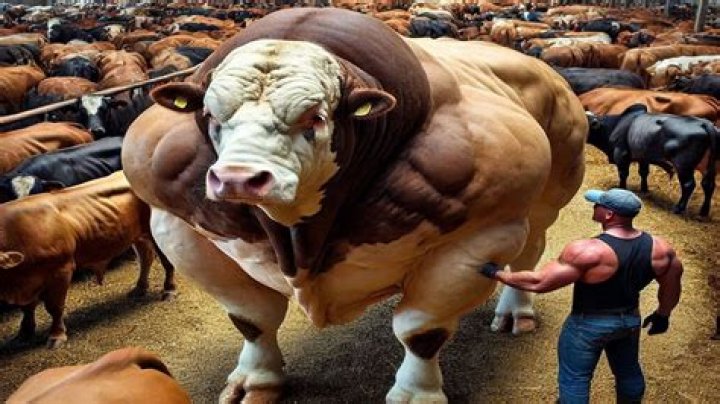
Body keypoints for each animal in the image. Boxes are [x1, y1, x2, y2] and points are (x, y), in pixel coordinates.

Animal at [0, 171, 177, 348]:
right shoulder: (27, 281)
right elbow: (27, 308)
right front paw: (24, 332)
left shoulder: (61, 269)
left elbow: (54, 307)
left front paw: (56, 336)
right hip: (137, 234)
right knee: (145, 257)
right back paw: (139, 288)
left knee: (166, 260)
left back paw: (169, 290)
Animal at [122, 8, 586, 402]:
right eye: (211, 115)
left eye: (315, 117)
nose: (238, 177)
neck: (298, 237)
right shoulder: (179, 227)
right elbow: (251, 319)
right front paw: (256, 379)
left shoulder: (481, 236)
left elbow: (421, 332)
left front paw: (416, 392)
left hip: (549, 195)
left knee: (528, 255)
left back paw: (516, 313)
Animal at [586, 104, 718, 216]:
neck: (615, 125)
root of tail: (704, 123)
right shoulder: (643, 158)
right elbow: (644, 173)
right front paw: (644, 189)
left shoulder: (621, 154)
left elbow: (623, 174)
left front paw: (621, 189)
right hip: (710, 167)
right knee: (708, 184)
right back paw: (704, 211)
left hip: (683, 166)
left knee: (689, 185)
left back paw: (678, 208)